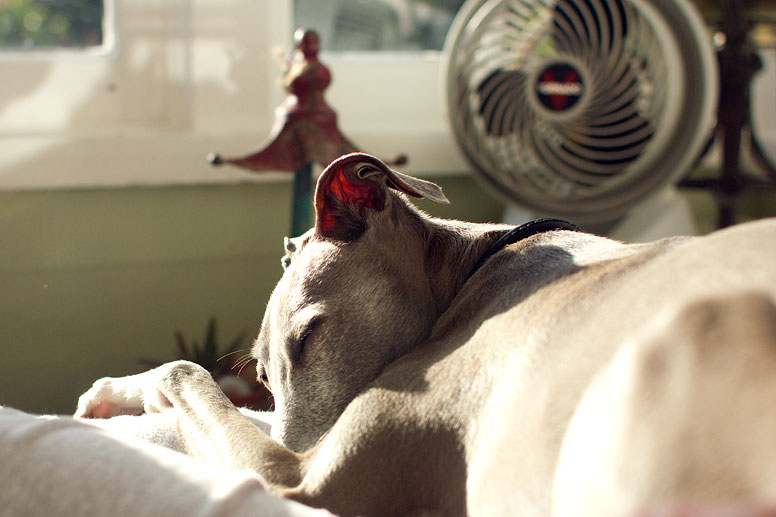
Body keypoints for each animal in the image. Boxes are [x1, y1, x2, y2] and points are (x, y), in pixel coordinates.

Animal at [76, 153, 776, 516]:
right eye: (266, 378)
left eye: (308, 338)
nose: (302, 444)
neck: (477, 266)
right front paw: (114, 393)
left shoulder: (303, 482)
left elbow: (185, 371)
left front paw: (114, 391)